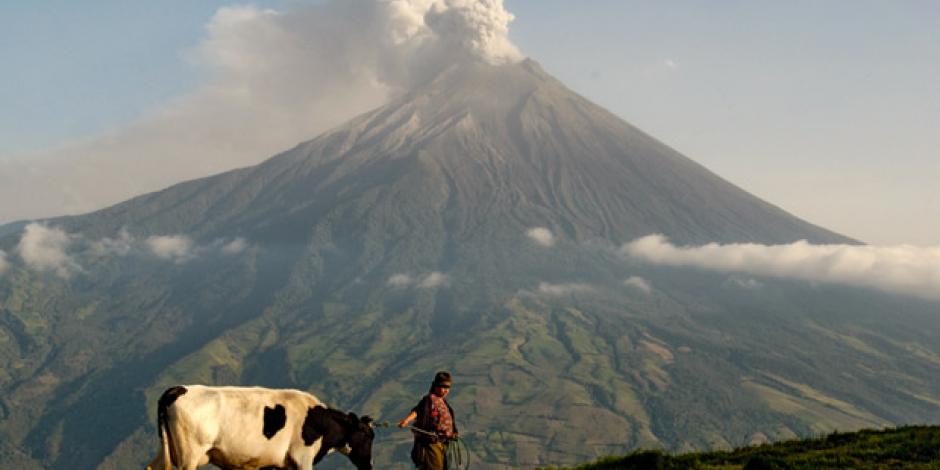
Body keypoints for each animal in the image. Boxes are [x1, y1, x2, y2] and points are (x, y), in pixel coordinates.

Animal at [145, 386, 372, 470]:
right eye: (367, 435)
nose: (369, 465)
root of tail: (177, 389)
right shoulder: (302, 458)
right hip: (189, 455)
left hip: (166, 449)